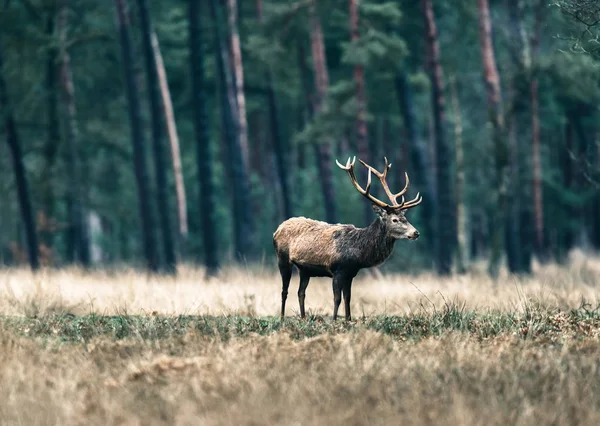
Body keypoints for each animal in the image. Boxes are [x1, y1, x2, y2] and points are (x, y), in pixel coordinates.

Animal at [274, 156, 422, 320]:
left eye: (405, 218)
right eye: (395, 220)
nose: (416, 233)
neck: (359, 253)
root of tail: (277, 229)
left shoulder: (350, 273)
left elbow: (347, 298)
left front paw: (348, 319)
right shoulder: (338, 270)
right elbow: (337, 298)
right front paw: (334, 319)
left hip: (304, 269)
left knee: (301, 292)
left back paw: (303, 318)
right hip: (282, 259)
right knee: (284, 291)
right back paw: (282, 318)